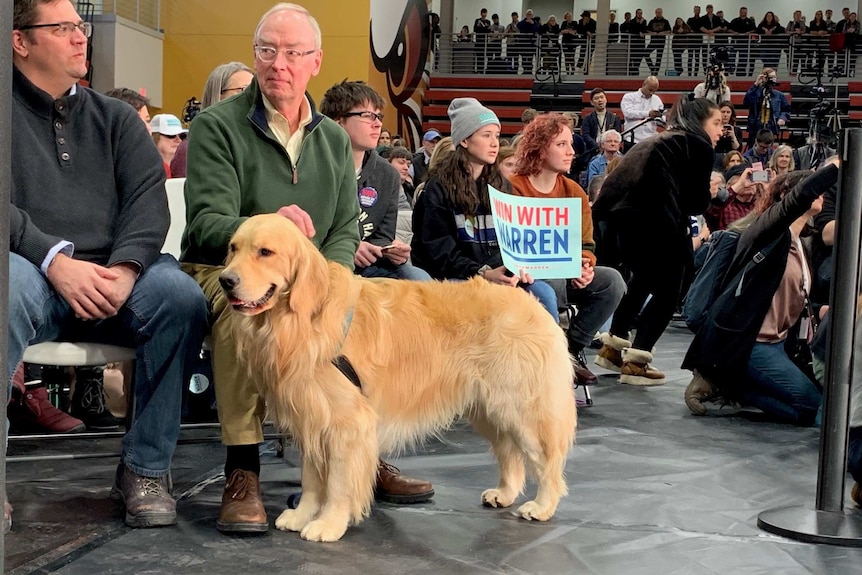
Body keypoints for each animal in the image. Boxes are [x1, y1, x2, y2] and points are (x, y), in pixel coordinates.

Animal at [219, 216, 576, 544]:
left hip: (523, 409)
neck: (303, 317)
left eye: (265, 252)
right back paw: (504, 492)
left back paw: (541, 506)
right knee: (509, 453)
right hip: (489, 409)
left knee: (547, 461)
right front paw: (302, 514)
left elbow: (337, 483)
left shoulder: (347, 425)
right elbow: (311, 479)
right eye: (233, 248)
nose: (226, 280)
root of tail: (532, 303)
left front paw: (328, 523)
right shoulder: (313, 416)